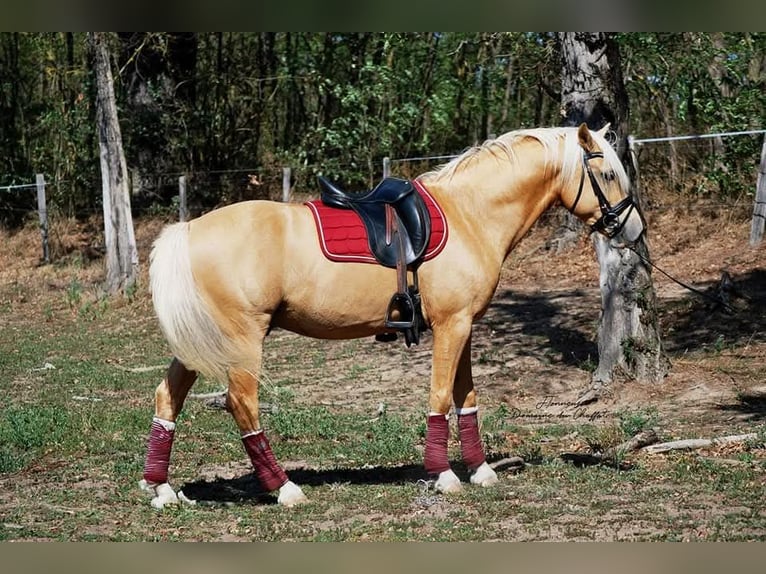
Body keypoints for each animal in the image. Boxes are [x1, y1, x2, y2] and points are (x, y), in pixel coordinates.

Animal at [139, 123, 644, 509]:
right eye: (606, 172)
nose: (633, 229)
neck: (470, 214)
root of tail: (188, 229)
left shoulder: (463, 327)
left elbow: (466, 396)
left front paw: (480, 469)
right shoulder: (452, 326)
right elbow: (440, 395)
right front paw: (443, 475)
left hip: (202, 343)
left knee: (167, 398)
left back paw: (162, 489)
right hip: (242, 342)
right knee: (243, 406)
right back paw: (284, 489)